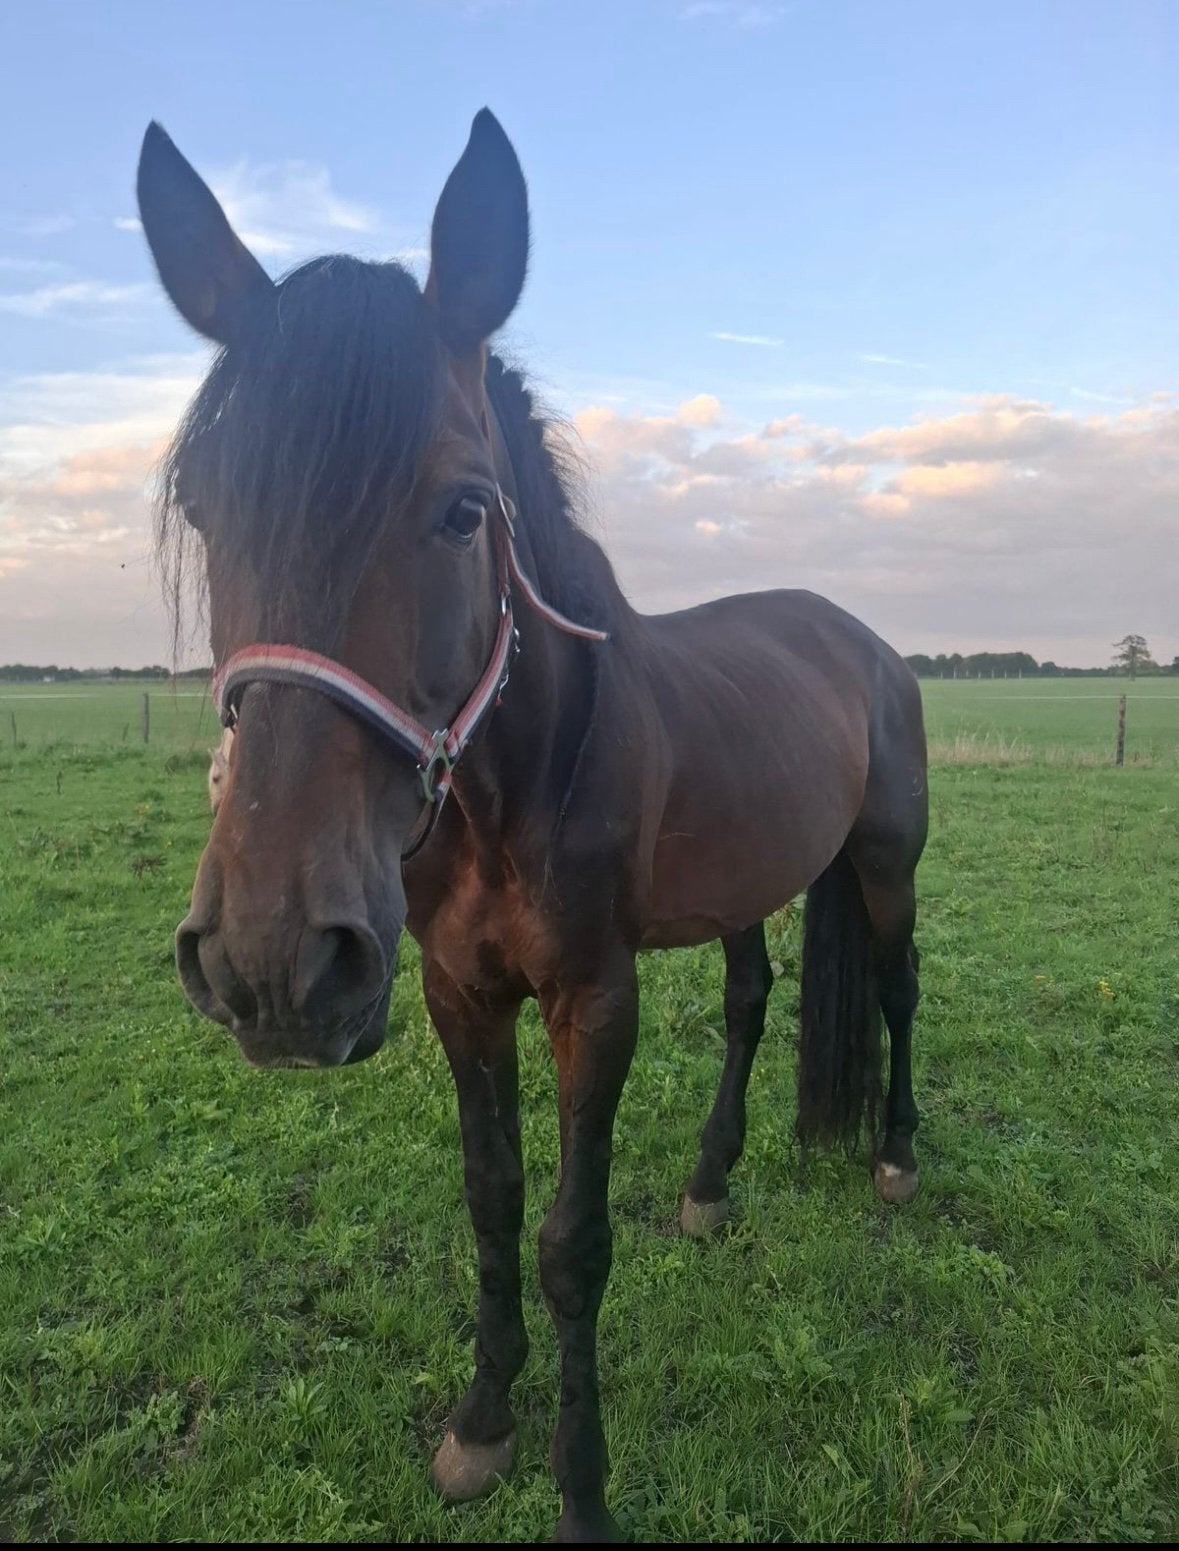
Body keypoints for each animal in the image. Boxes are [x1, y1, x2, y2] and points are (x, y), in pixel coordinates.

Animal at [138, 110, 928, 1543]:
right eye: (204, 506)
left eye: (465, 508)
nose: (269, 962)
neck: (517, 786)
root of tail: (867, 644)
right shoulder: (461, 994)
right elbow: (493, 1202)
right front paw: (480, 1426)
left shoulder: (591, 999)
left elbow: (572, 1244)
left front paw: (582, 1489)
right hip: (744, 886)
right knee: (751, 1002)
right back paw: (712, 1183)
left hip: (888, 863)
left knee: (897, 989)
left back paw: (894, 1156)